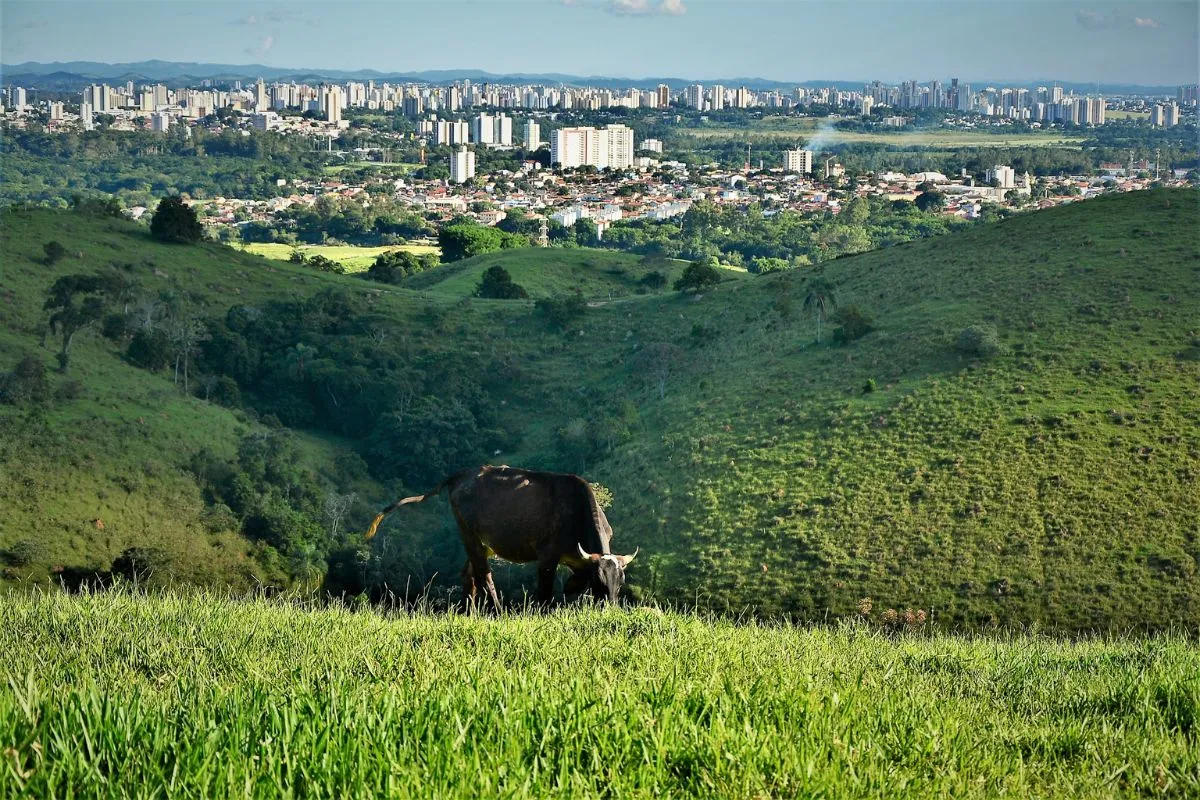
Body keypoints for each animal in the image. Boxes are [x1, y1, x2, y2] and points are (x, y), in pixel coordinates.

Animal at [364, 465, 638, 609]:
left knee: (469, 573)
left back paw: (469, 612)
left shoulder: (577, 559)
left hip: (483, 543)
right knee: (484, 575)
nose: (611, 607)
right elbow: (545, 592)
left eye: (621, 581)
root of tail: (461, 476)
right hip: (469, 534)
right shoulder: (547, 556)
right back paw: (497, 611)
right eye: (599, 581)